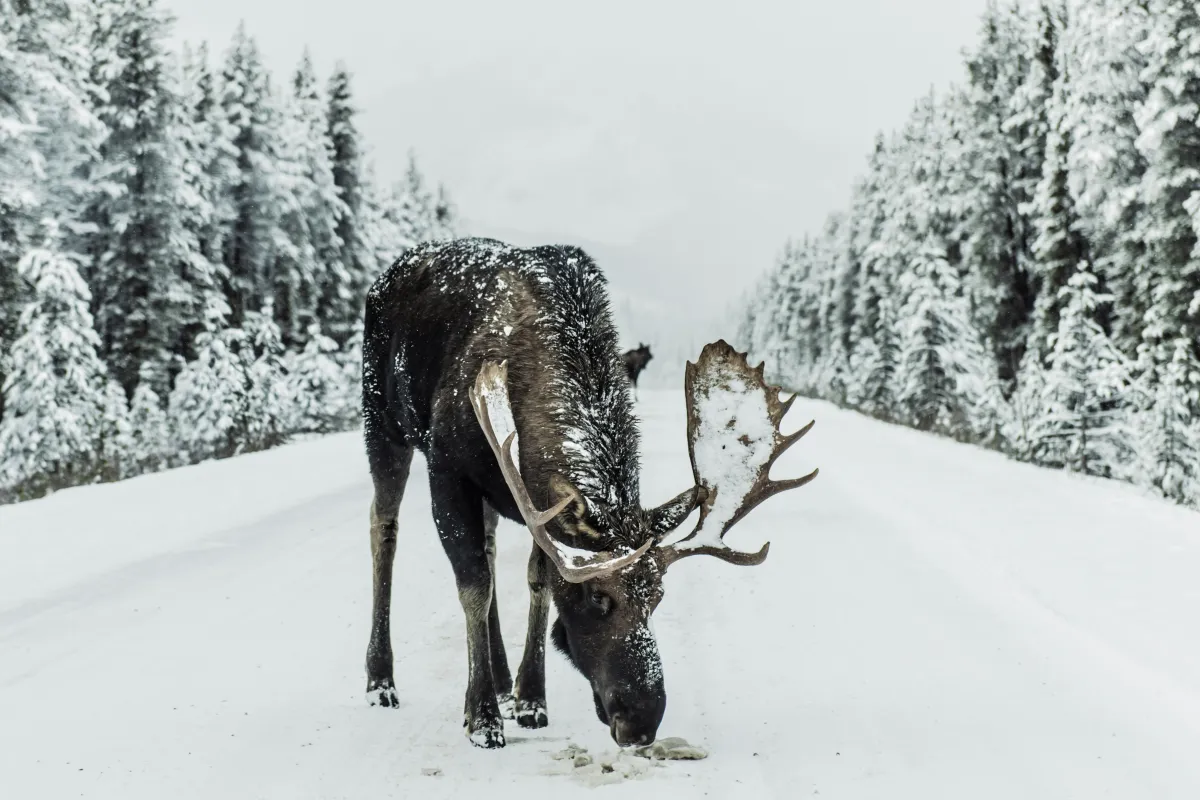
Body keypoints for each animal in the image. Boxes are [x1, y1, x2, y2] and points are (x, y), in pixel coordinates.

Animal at [362, 235, 816, 748]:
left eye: (658, 597)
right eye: (599, 597)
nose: (642, 721)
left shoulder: (533, 500)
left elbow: (537, 581)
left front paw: (530, 698)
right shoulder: (447, 467)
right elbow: (473, 585)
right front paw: (481, 718)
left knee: (491, 546)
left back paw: (500, 678)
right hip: (382, 422)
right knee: (384, 528)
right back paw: (381, 680)